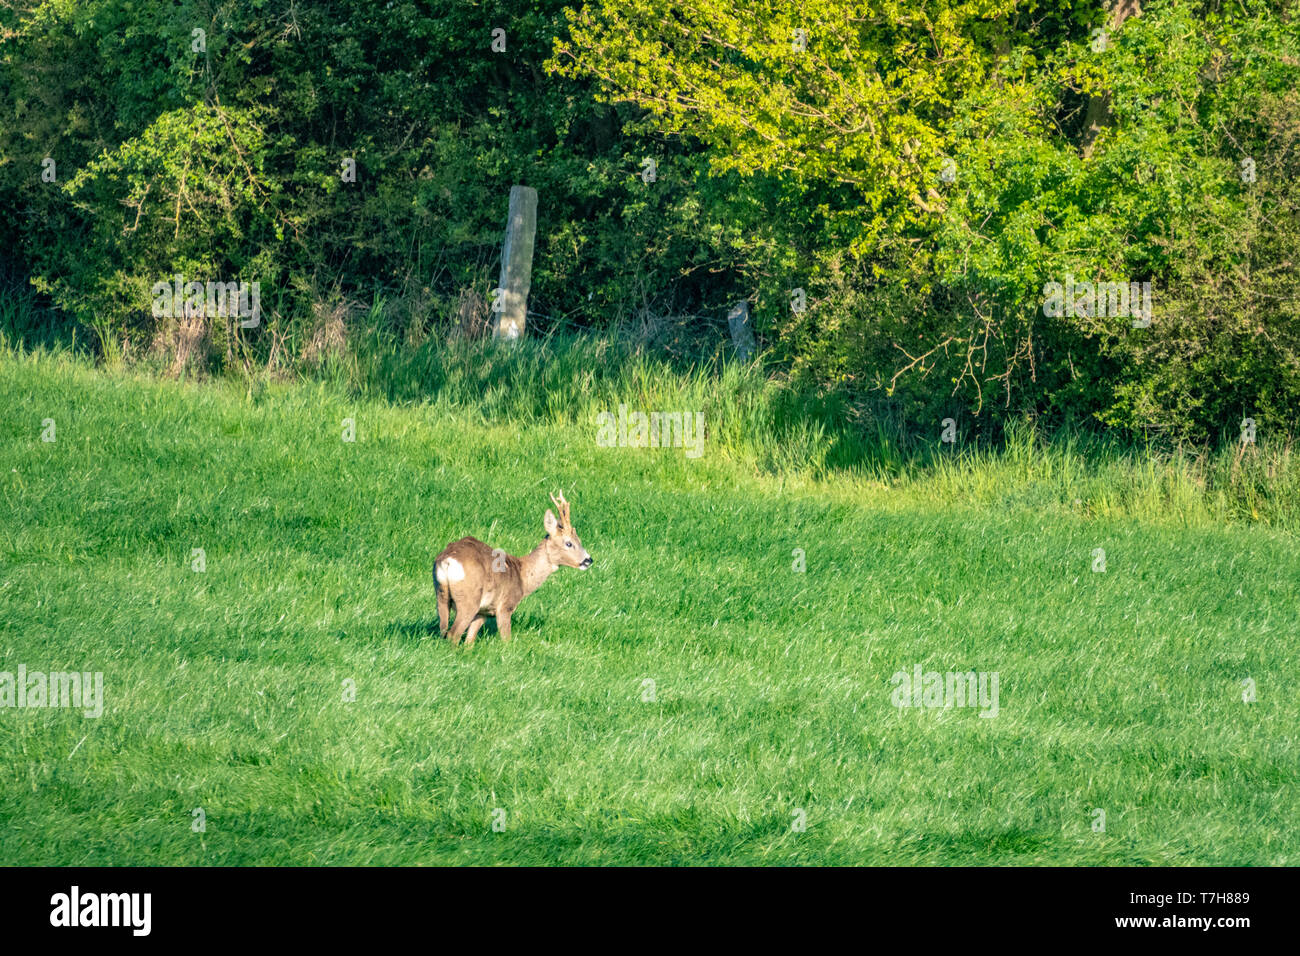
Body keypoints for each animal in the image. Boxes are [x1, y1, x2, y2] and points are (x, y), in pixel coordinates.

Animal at [431, 489, 595, 647]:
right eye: (569, 543)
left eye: (579, 540)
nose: (588, 560)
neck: (522, 576)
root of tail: (447, 560)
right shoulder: (506, 605)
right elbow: (506, 639)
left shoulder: (484, 611)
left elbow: (469, 641)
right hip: (469, 598)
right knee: (453, 634)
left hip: (441, 594)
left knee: (443, 630)